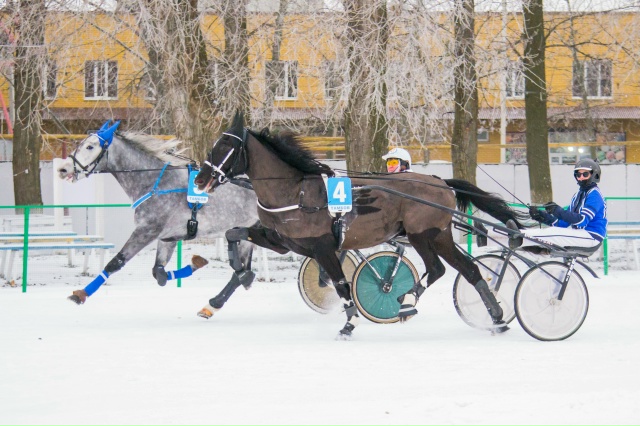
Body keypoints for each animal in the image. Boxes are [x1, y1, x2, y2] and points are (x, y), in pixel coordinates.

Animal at [56, 120, 262, 317]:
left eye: (90, 146)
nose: (63, 169)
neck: (157, 183)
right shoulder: (167, 237)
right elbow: (159, 273)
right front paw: (195, 263)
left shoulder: (147, 230)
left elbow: (116, 262)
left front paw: (81, 294)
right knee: (242, 271)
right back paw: (216, 302)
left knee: (242, 272)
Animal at [194, 112, 529, 340]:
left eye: (226, 147)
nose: (200, 178)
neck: (296, 192)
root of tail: (439, 180)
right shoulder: (281, 240)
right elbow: (233, 233)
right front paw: (231, 284)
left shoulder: (322, 247)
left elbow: (341, 284)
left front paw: (349, 322)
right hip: (440, 236)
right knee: (468, 269)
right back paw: (497, 318)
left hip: (422, 235)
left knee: (437, 269)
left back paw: (407, 300)